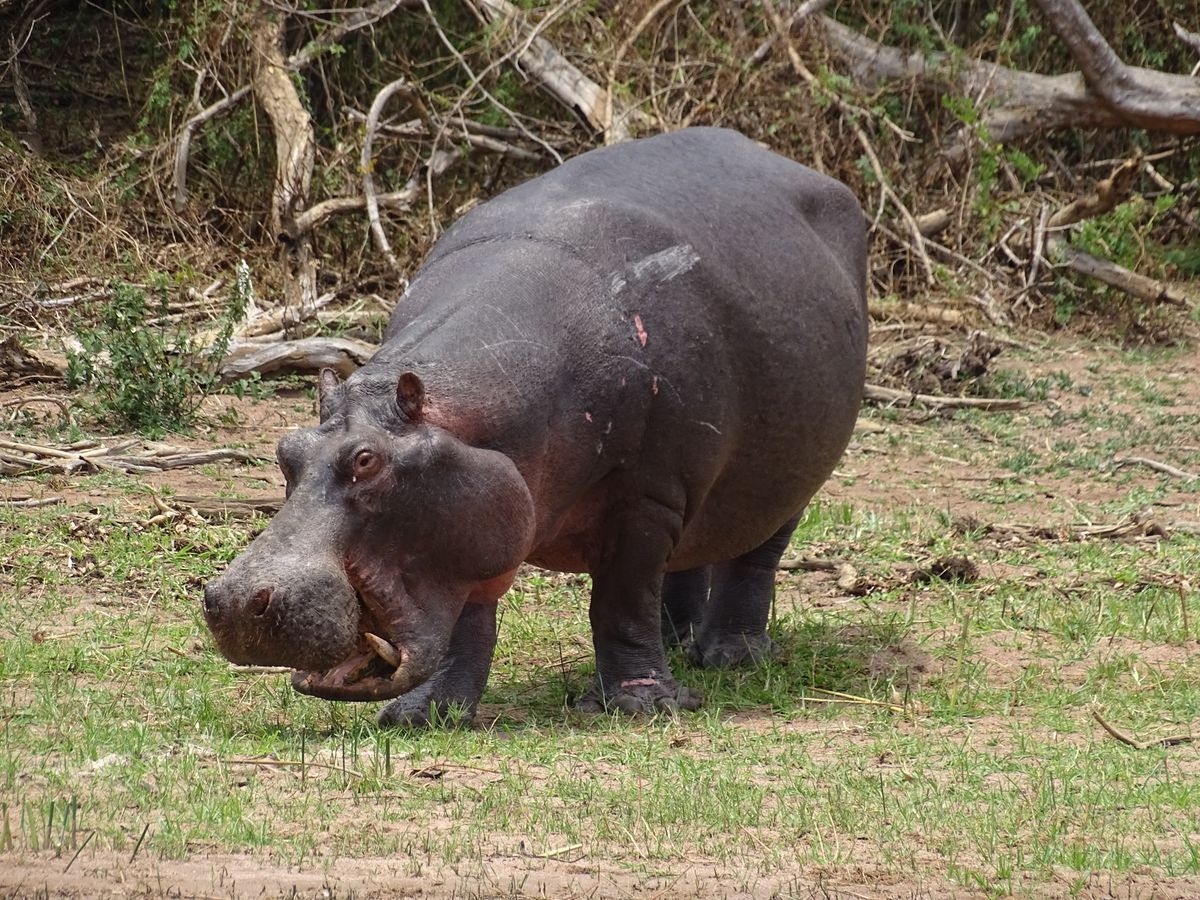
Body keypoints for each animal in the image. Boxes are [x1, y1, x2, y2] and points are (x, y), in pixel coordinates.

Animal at [202, 127, 868, 725]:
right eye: (285, 451)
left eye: (368, 460)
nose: (233, 600)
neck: (468, 412)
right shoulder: (474, 521)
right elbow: (466, 621)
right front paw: (425, 716)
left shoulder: (646, 500)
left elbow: (621, 600)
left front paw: (643, 707)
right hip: (699, 491)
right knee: (689, 556)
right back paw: (679, 646)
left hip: (787, 481)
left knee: (754, 558)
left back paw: (731, 657)